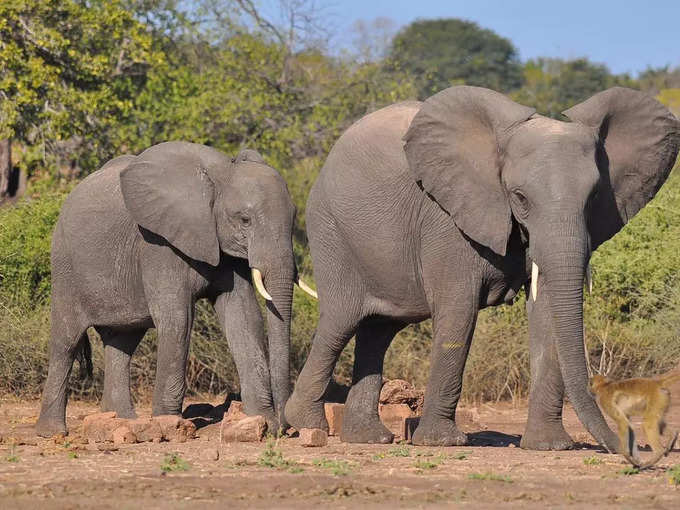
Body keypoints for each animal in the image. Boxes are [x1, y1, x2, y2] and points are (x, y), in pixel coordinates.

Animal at [35, 141, 314, 436]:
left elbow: (244, 316)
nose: (285, 428)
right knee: (66, 341)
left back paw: (122, 421)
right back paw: (53, 432)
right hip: (65, 266)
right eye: (245, 220)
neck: (219, 174)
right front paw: (169, 426)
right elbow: (177, 318)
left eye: (295, 217)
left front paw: (263, 422)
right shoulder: (158, 243)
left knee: (122, 343)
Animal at [286, 86, 680, 450]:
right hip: (331, 231)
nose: (637, 449)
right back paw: (307, 425)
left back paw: (368, 438)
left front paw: (549, 446)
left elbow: (547, 314)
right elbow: (458, 313)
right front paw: (441, 442)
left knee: (378, 330)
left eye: (594, 197)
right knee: (342, 320)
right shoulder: (447, 218)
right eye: (520, 198)